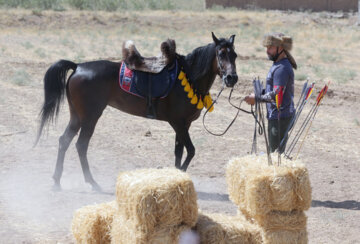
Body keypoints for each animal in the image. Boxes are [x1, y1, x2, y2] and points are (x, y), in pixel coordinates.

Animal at [35, 32, 239, 191]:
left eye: (235, 55)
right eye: (221, 54)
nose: (232, 78)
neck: (189, 77)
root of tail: (78, 67)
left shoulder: (183, 124)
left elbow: (179, 151)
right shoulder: (178, 123)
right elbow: (190, 151)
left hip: (77, 116)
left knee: (64, 141)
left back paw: (57, 181)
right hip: (90, 117)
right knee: (81, 145)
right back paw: (92, 183)